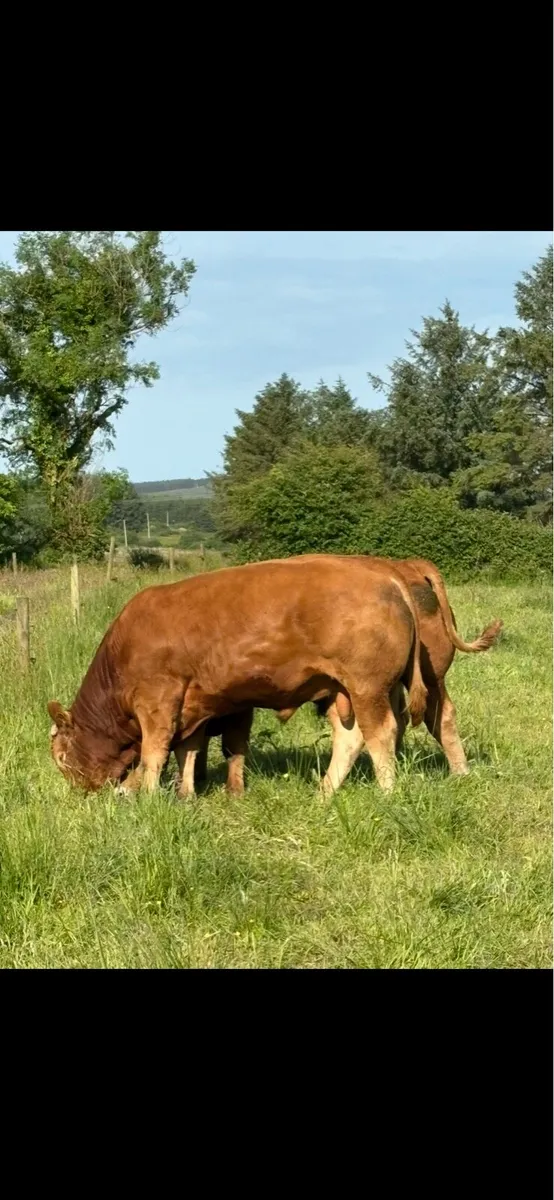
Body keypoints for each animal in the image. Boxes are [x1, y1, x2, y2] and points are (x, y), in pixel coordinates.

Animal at [47, 554, 428, 796]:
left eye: (62, 757)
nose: (78, 792)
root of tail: (385, 574)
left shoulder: (157, 700)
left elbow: (154, 753)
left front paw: (149, 797)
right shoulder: (194, 705)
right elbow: (188, 749)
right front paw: (185, 794)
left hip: (367, 687)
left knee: (381, 733)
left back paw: (386, 792)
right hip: (340, 689)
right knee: (349, 738)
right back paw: (324, 793)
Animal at [182, 556, 503, 796]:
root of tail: (409, 567)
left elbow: (225, 745)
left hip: (395, 683)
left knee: (406, 723)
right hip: (422, 678)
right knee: (434, 716)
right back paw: (459, 773)